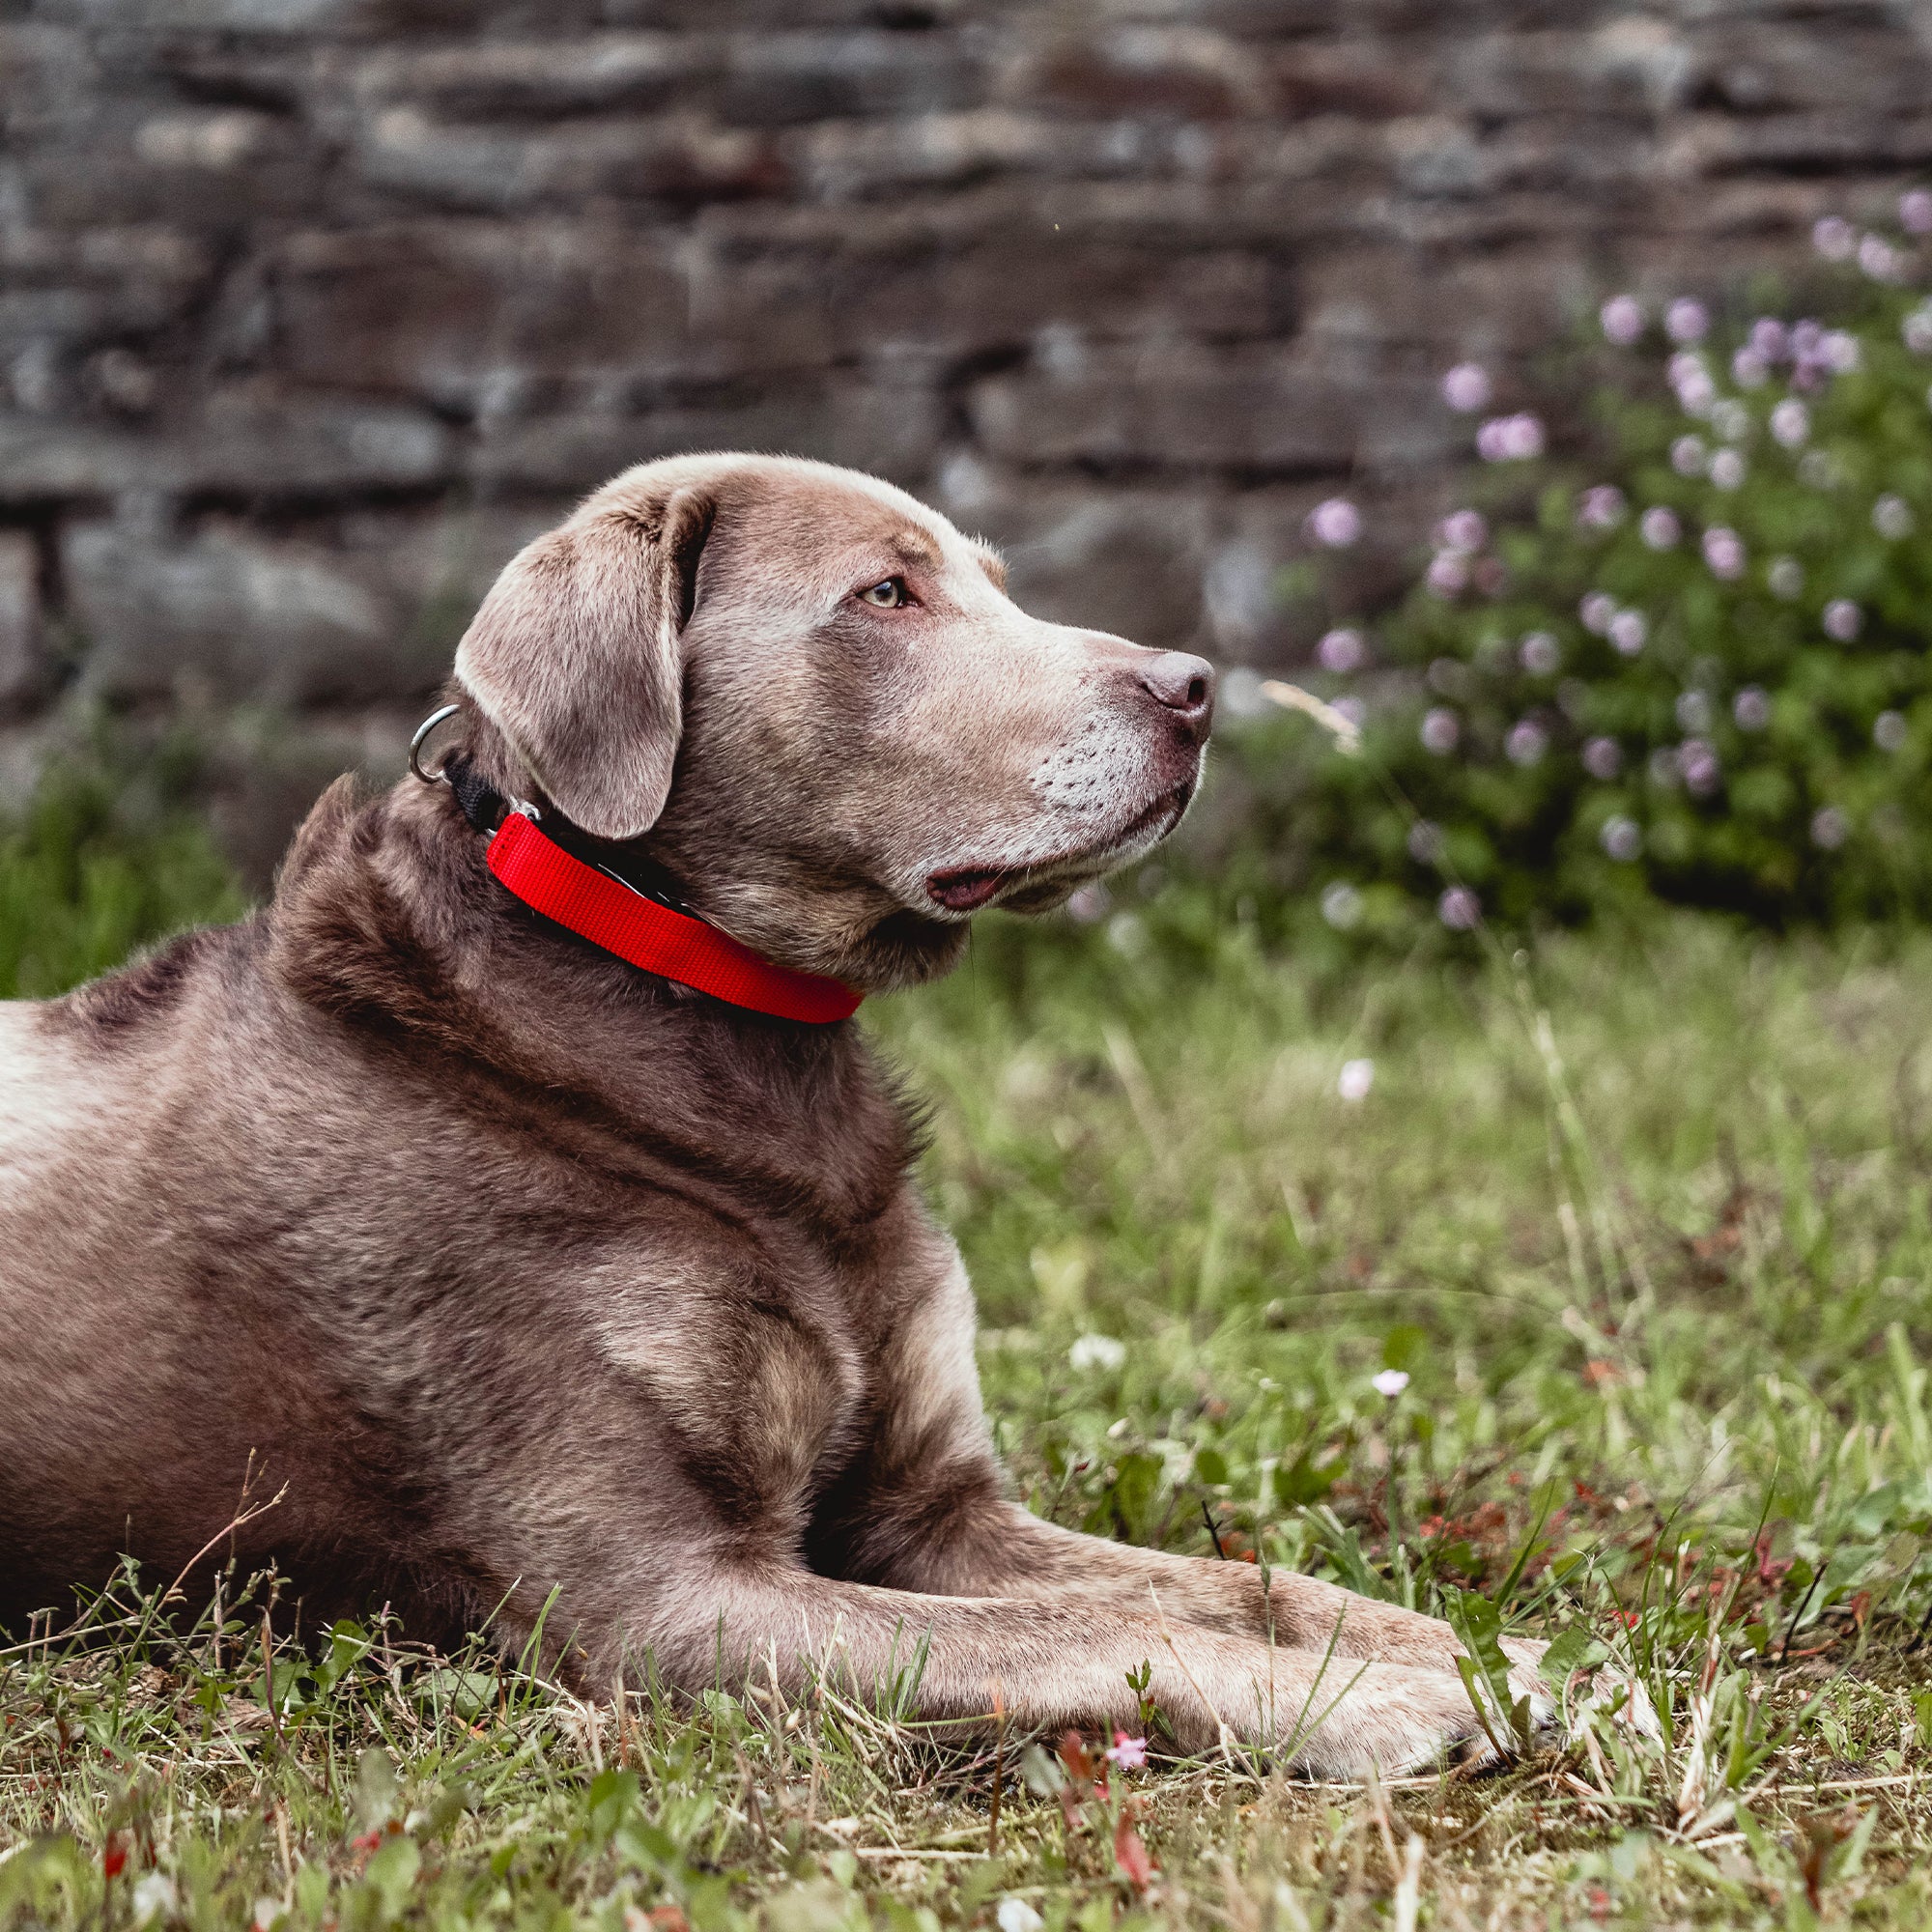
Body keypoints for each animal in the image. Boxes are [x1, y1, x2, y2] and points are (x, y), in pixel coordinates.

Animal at [0, 460, 1546, 1770]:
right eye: (886, 595)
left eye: (995, 579)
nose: (1197, 685)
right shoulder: (659, 1600)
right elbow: (1087, 1629)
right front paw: (1364, 1700)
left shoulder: (933, 1503)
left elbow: (1234, 1578)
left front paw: (1463, 1651)